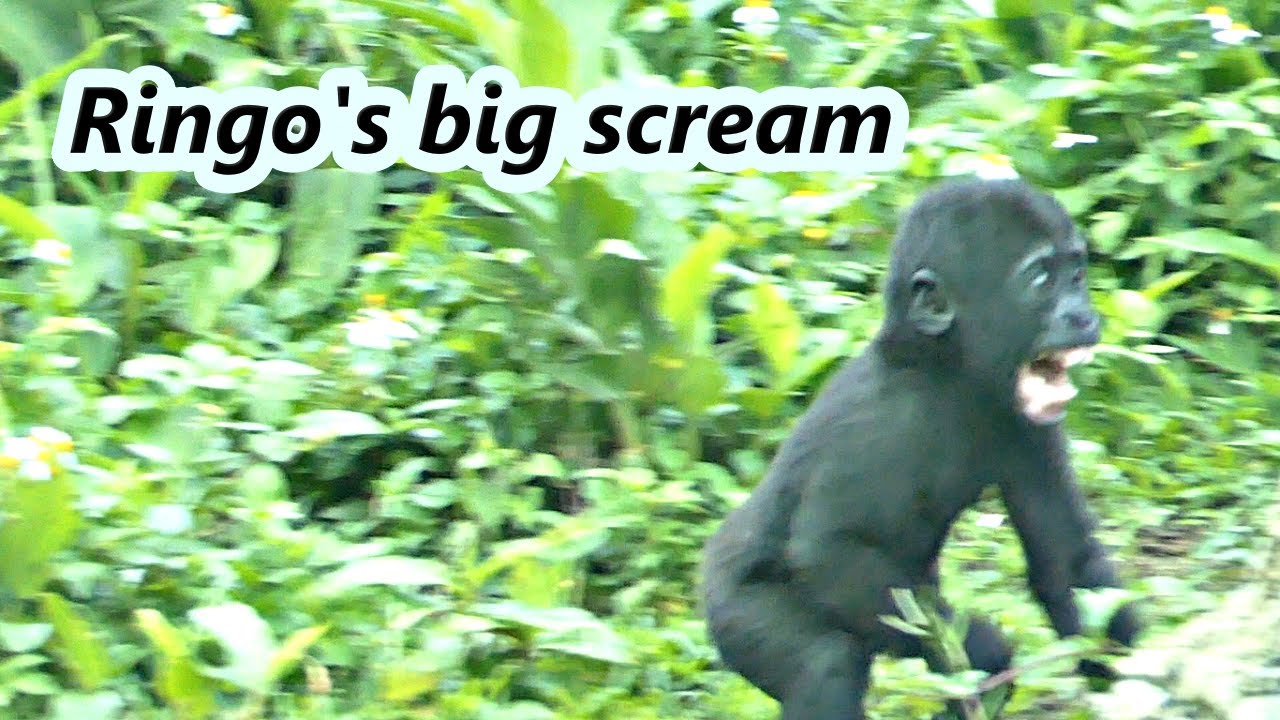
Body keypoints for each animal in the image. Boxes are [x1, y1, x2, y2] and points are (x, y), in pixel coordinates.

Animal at [702, 178, 1141, 719]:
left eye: (1077, 274)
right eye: (1041, 278)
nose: (1082, 315)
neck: (943, 372)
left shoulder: (1026, 423)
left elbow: (1068, 560)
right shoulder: (874, 426)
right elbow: (827, 552)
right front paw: (981, 646)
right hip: (733, 610)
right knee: (823, 660)